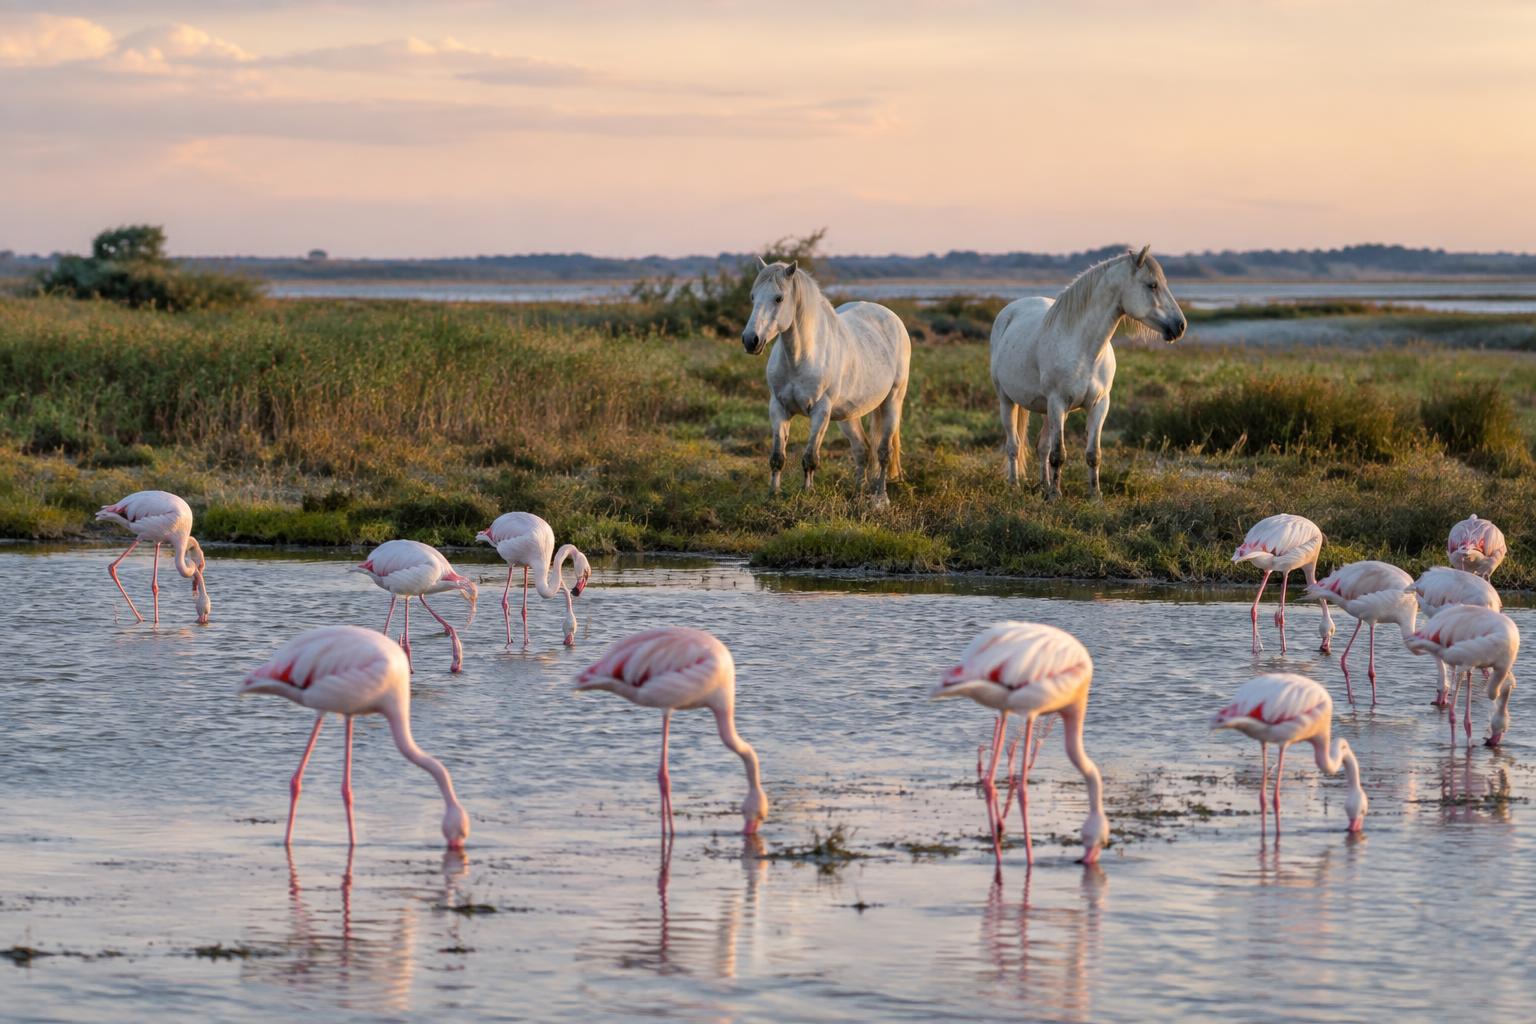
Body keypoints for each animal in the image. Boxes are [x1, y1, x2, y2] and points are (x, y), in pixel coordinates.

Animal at [741, 260, 912, 504]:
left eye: (779, 298)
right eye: (753, 297)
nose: (750, 340)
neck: (800, 358)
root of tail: (892, 318)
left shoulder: (820, 411)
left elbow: (810, 457)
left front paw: (807, 494)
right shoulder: (778, 408)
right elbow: (777, 457)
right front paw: (773, 495)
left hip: (892, 402)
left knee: (883, 453)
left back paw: (880, 499)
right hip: (849, 415)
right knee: (862, 450)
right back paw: (858, 494)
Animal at [989, 246, 1186, 499]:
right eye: (1152, 285)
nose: (1180, 326)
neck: (1085, 349)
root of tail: (1009, 311)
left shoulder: (1099, 405)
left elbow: (1093, 454)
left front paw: (1095, 496)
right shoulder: (1057, 403)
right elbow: (1059, 454)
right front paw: (1056, 496)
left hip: (1047, 410)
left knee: (1041, 447)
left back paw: (1043, 486)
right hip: (1008, 401)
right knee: (1014, 445)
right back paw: (1014, 487)